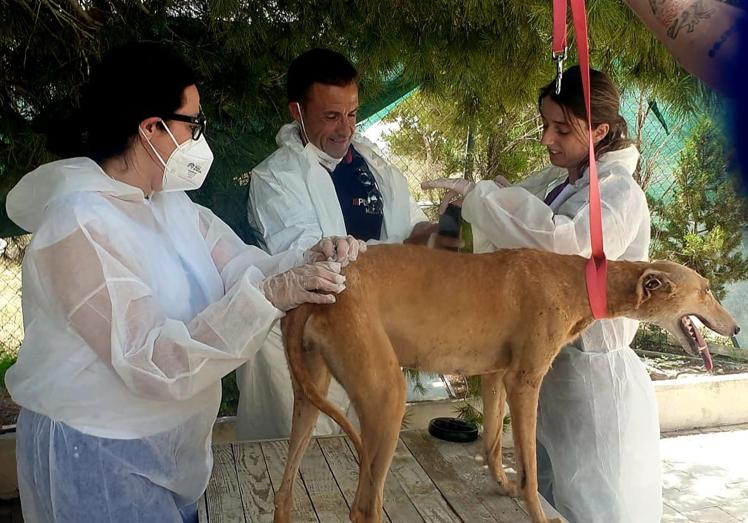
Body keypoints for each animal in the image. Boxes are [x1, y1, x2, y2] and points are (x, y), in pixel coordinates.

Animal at [274, 244, 736, 520]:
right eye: (706, 290)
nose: (733, 330)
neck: (578, 279)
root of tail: (315, 291)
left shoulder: (496, 375)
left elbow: (494, 441)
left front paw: (503, 486)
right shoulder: (525, 381)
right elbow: (529, 462)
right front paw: (536, 509)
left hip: (308, 399)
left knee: (284, 489)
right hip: (387, 399)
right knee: (364, 508)